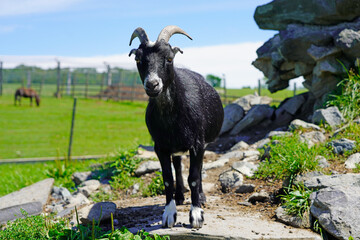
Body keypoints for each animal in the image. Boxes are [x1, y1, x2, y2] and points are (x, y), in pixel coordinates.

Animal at [129, 25, 224, 228]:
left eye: (169, 58)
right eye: (138, 59)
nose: (152, 84)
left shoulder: (197, 144)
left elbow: (194, 177)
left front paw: (196, 215)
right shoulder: (161, 147)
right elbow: (167, 178)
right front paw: (169, 214)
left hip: (202, 143)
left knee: (197, 169)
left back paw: (200, 197)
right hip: (176, 146)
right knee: (178, 166)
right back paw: (180, 196)